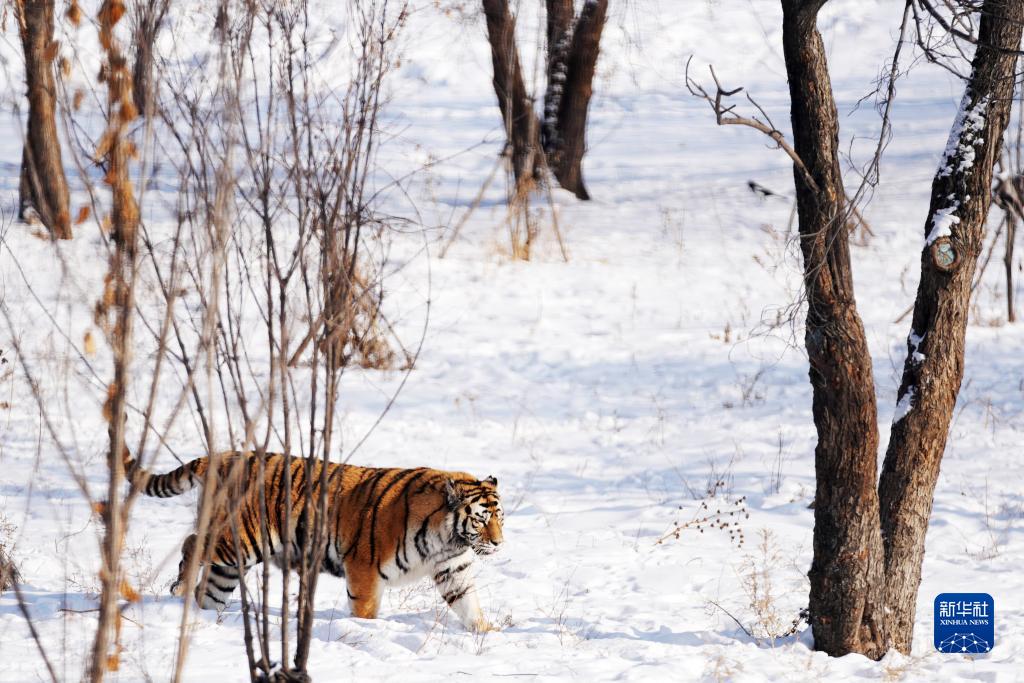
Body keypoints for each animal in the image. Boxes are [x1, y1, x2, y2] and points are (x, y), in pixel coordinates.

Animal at [128, 450, 503, 634]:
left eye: (500, 517)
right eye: (481, 519)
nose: (499, 543)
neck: (447, 538)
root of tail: (222, 455)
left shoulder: (453, 570)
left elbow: (468, 604)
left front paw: (487, 632)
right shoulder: (364, 568)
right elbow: (365, 611)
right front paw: (365, 630)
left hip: (234, 562)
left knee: (210, 590)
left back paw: (207, 617)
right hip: (241, 539)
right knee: (192, 542)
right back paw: (179, 587)